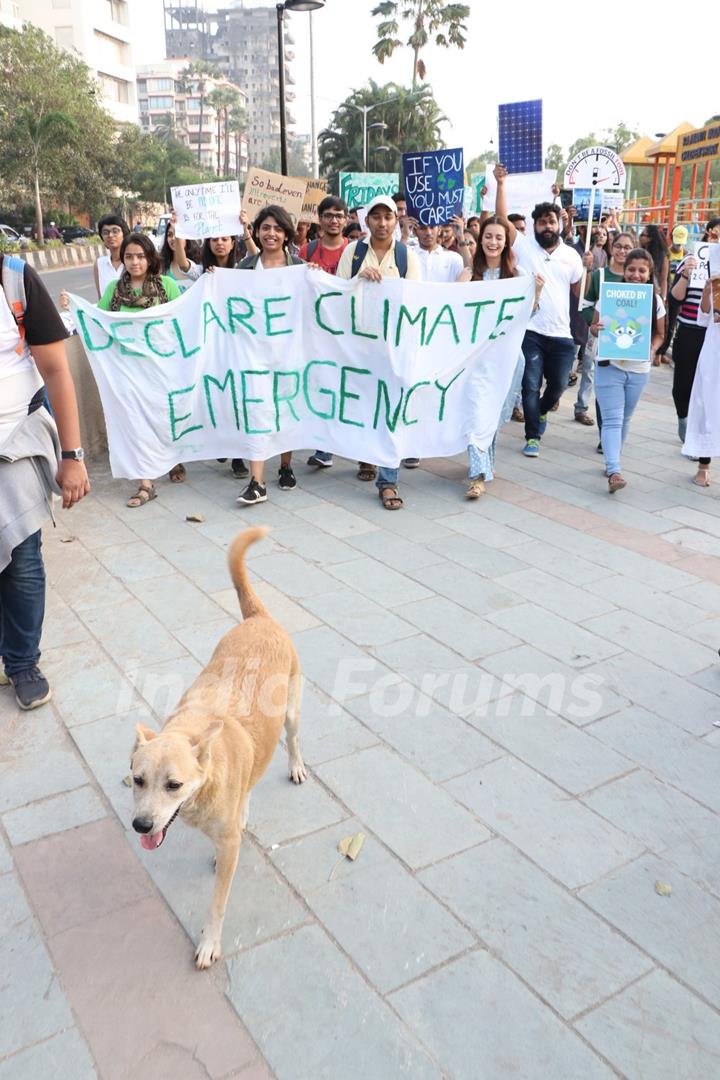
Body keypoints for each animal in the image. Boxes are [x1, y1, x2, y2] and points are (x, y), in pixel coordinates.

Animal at [131, 524, 306, 972]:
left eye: (173, 785)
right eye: (136, 780)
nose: (141, 825)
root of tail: (260, 617)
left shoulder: (227, 852)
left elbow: (218, 904)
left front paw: (209, 942)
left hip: (292, 711)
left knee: (293, 740)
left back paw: (296, 766)